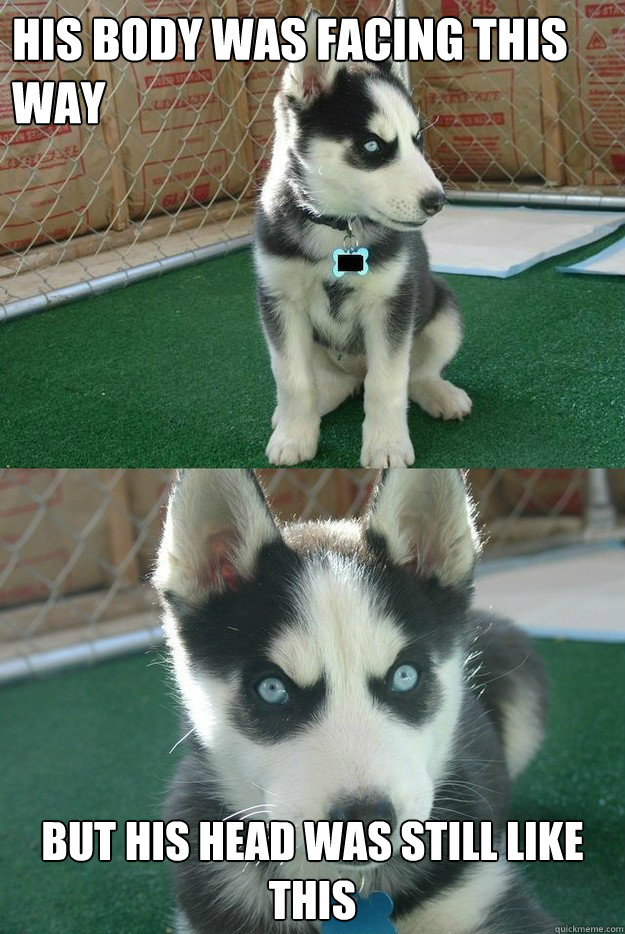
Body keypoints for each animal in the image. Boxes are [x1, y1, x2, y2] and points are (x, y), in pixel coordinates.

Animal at [252, 12, 468, 466]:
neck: (337, 225)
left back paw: (439, 393)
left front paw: (386, 445)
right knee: (328, 384)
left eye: (417, 140)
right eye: (372, 146)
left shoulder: (391, 305)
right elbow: (292, 378)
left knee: (413, 374)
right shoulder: (280, 302)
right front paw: (294, 435)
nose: (437, 202)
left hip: (443, 311)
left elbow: (388, 384)